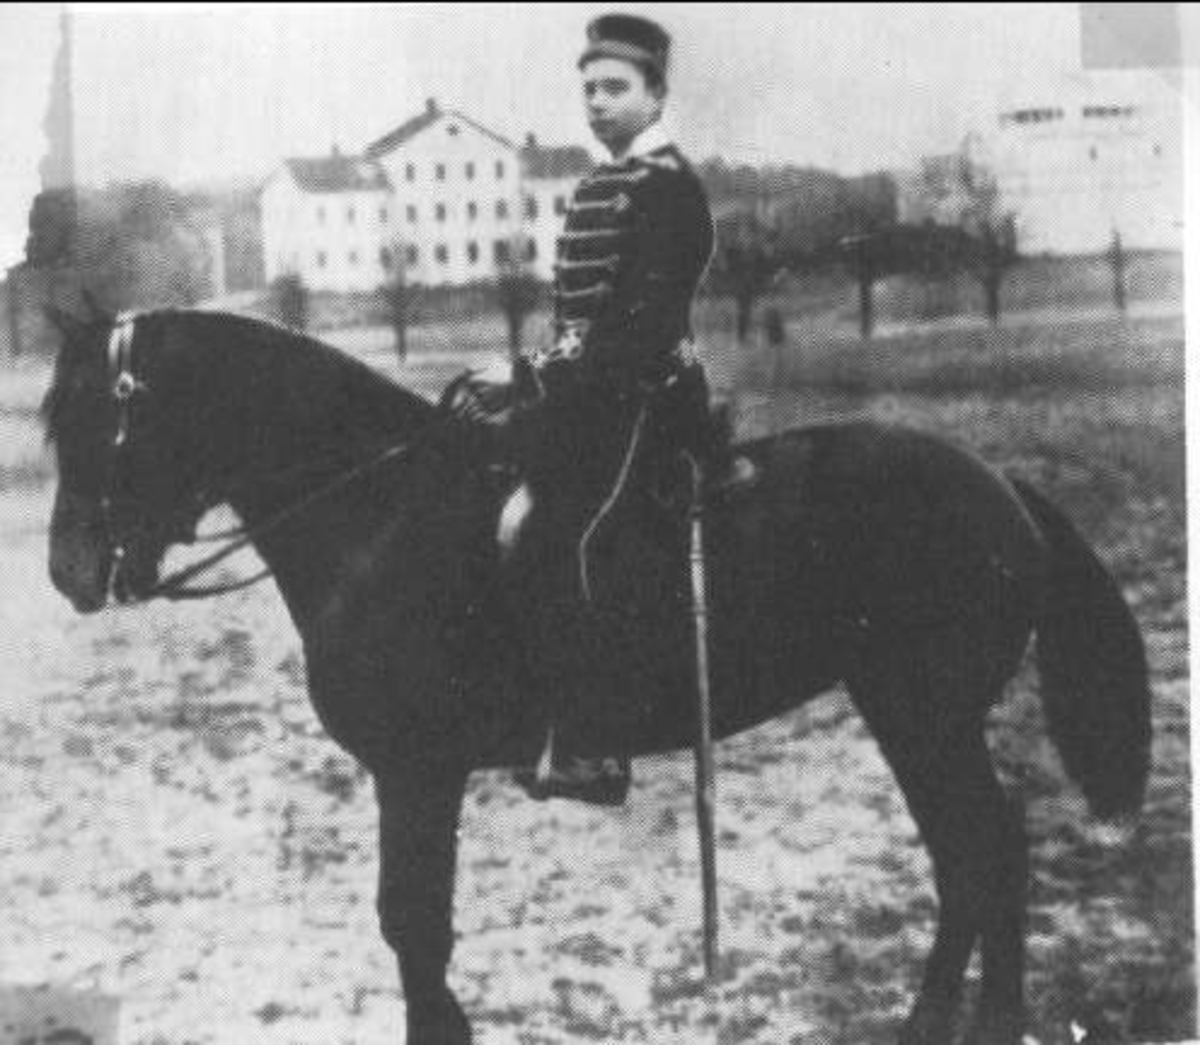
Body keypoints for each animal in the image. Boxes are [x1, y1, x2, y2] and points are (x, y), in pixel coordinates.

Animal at [42, 306, 1151, 1045]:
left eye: (100, 417)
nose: (67, 574)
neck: (382, 515)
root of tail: (1000, 482)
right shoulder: (415, 777)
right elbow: (415, 928)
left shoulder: (416, 772)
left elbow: (413, 925)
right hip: (912, 716)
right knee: (969, 857)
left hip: (924, 714)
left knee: (985, 851)